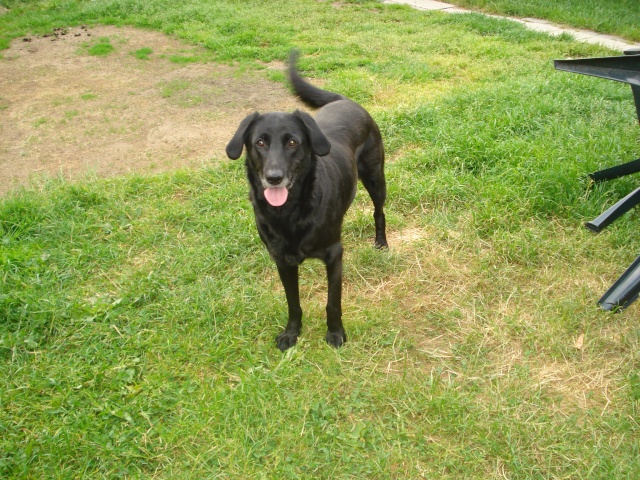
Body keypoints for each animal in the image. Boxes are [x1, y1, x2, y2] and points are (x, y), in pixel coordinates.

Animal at [225, 52, 388, 350]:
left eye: (292, 142)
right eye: (260, 143)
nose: (274, 177)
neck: (290, 212)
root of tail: (344, 100)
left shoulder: (335, 255)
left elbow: (333, 302)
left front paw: (335, 334)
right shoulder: (281, 260)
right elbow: (293, 303)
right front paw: (291, 333)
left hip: (375, 178)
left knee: (378, 212)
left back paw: (381, 243)